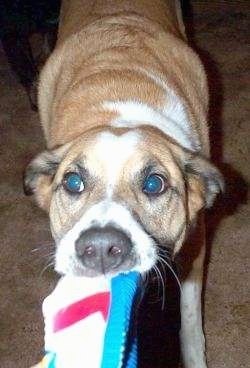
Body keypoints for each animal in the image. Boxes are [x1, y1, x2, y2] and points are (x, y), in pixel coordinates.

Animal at [24, 1, 223, 366]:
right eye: (73, 182)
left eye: (155, 184)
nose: (101, 249)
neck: (121, 106)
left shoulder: (196, 242)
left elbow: (189, 320)